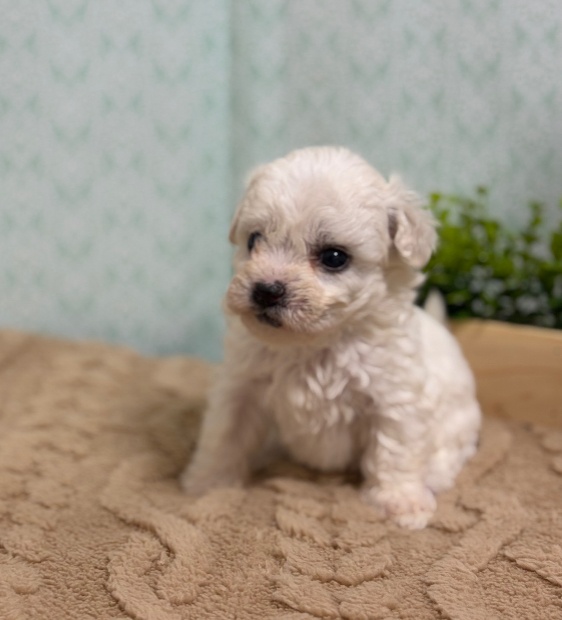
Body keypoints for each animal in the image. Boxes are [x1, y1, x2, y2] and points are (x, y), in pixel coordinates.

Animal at [181, 146, 481, 529]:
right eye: (253, 240)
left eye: (334, 257)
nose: (265, 290)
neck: (314, 343)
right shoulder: (240, 387)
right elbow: (224, 435)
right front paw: (207, 483)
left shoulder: (395, 397)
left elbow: (396, 449)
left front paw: (401, 500)